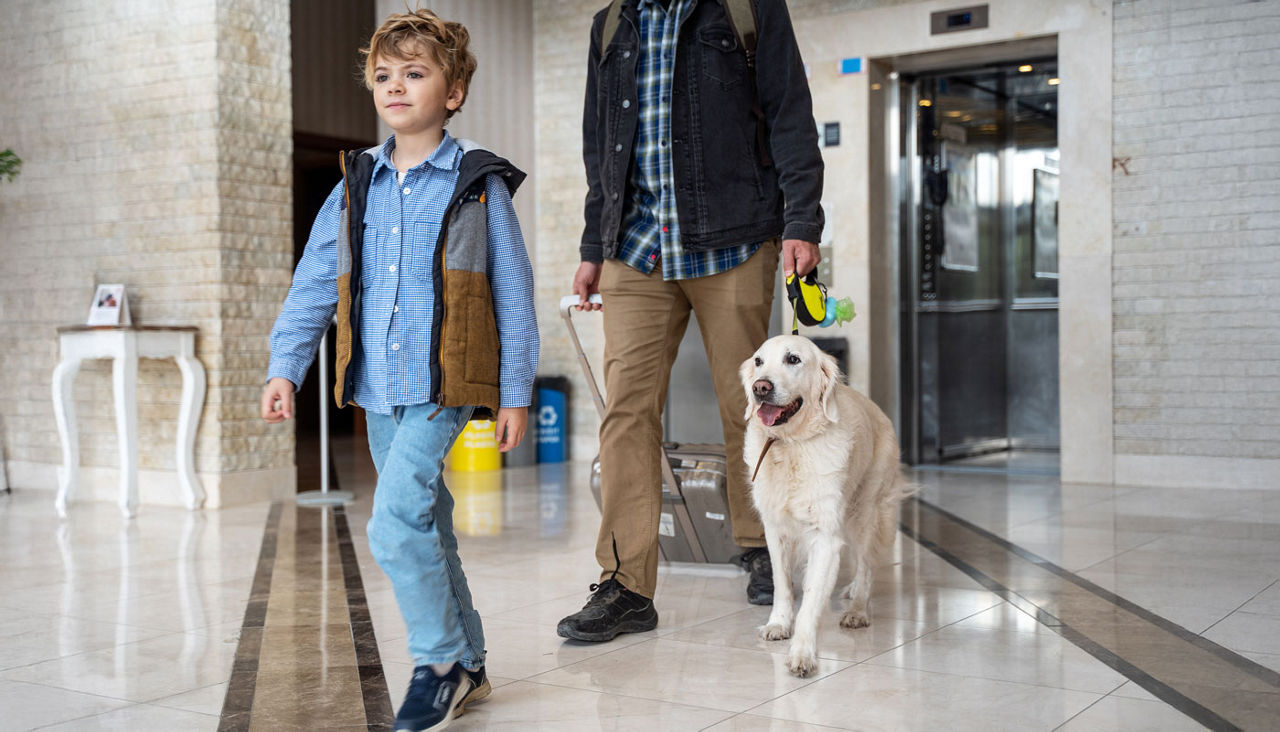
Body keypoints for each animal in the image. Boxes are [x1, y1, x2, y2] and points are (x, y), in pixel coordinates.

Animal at [742, 335, 911, 675]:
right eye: (758, 362)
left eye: (793, 359)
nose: (760, 387)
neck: (790, 446)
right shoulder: (776, 531)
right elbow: (783, 584)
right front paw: (778, 624)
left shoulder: (824, 537)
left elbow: (810, 601)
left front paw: (803, 653)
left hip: (864, 513)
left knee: (867, 565)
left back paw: (858, 609)